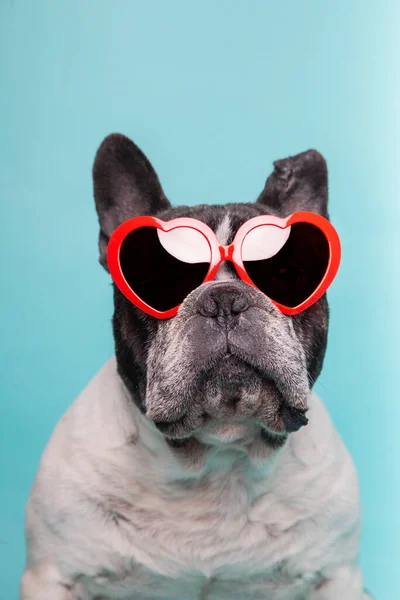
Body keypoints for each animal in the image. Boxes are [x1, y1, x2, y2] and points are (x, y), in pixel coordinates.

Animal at [20, 134, 372, 596]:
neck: (217, 457)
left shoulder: (335, 578)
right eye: (158, 283)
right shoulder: (54, 576)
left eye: (285, 274)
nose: (223, 301)